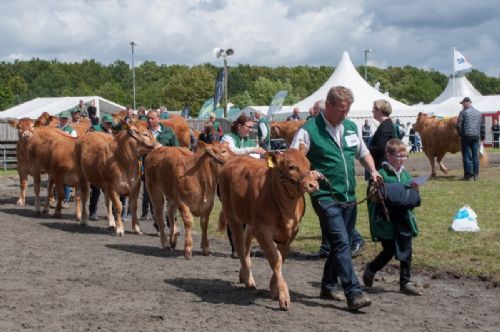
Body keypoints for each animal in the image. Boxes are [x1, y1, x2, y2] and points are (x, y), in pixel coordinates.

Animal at [217, 147, 318, 310]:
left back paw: (244, 274)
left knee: (246, 242)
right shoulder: (262, 229)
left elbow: (281, 257)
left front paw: (274, 288)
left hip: (250, 221)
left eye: (309, 164)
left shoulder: (292, 231)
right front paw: (283, 296)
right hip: (232, 215)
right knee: (239, 245)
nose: (313, 184)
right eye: (291, 167)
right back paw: (248, 278)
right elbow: (275, 258)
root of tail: (235, 158)